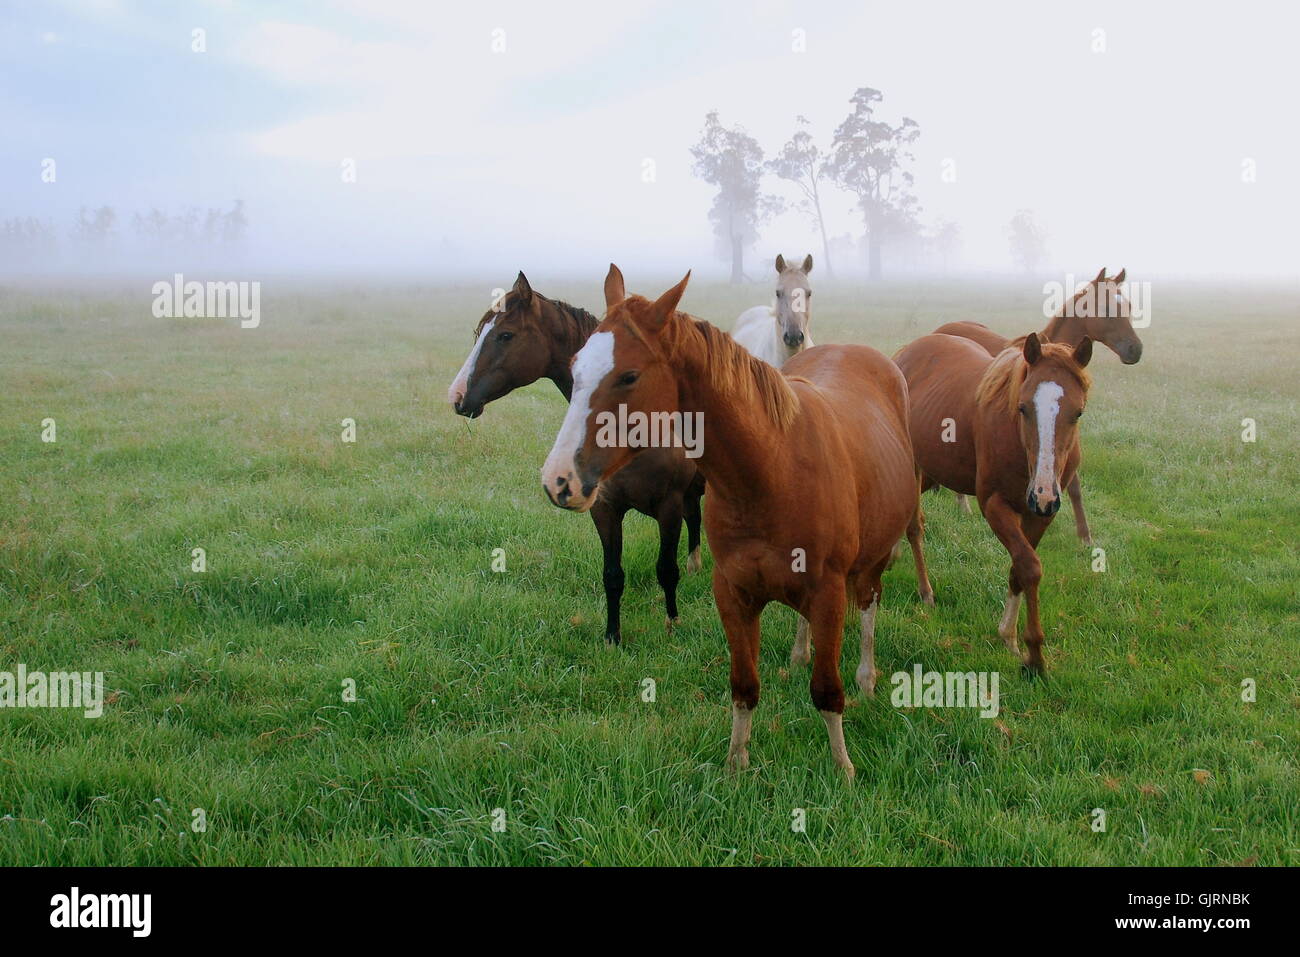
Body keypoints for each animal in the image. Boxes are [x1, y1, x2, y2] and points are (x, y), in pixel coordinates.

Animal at [448, 271, 705, 644]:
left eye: (505, 335)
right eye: (479, 333)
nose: (457, 396)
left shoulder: (668, 506)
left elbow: (666, 570)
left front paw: (673, 623)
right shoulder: (604, 509)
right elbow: (612, 575)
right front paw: (612, 637)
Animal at [541, 266, 917, 778]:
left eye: (629, 375)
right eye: (575, 367)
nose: (558, 480)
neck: (772, 469)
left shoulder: (828, 592)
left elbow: (826, 689)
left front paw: (843, 768)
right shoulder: (733, 593)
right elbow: (743, 686)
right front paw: (736, 764)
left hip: (872, 561)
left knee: (868, 605)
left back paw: (866, 675)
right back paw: (800, 653)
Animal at [893, 331, 1093, 675]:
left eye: (1077, 412)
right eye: (1023, 408)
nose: (1042, 493)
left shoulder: (1040, 515)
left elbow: (1019, 567)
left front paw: (1009, 637)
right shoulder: (994, 505)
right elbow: (1029, 567)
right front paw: (1034, 656)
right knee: (914, 527)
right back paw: (925, 591)